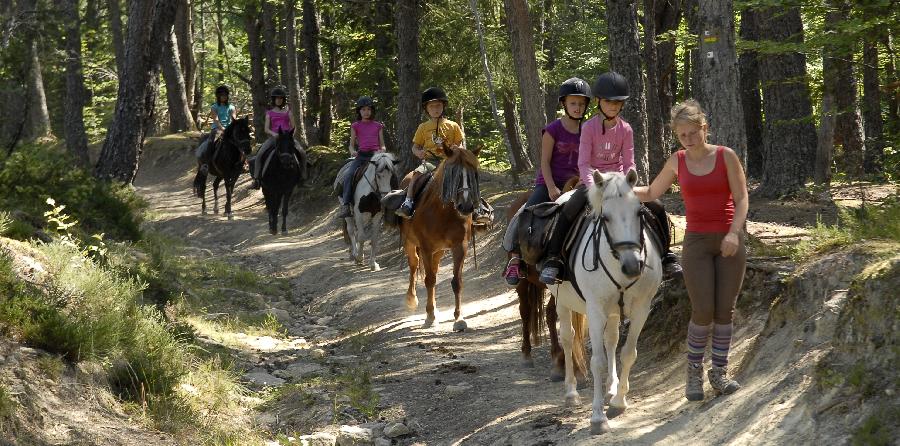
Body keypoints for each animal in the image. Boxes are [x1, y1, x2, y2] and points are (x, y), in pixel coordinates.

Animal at [396, 146, 482, 332]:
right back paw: (411, 299)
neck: (444, 212)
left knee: (433, 271)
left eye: (473, 174)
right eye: (453, 173)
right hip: (410, 243)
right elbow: (429, 280)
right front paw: (430, 316)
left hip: (439, 251)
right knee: (414, 265)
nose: (466, 206)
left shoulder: (460, 247)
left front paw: (459, 319)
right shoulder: (426, 248)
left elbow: (456, 282)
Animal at [544, 169, 664, 434]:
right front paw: (598, 418)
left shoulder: (642, 309)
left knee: (611, 341)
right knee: (568, 339)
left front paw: (618, 401)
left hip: (613, 311)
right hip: (562, 301)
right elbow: (596, 362)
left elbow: (628, 353)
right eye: (605, 217)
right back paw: (571, 393)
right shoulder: (596, 311)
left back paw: (611, 387)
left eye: (639, 212)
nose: (632, 266)